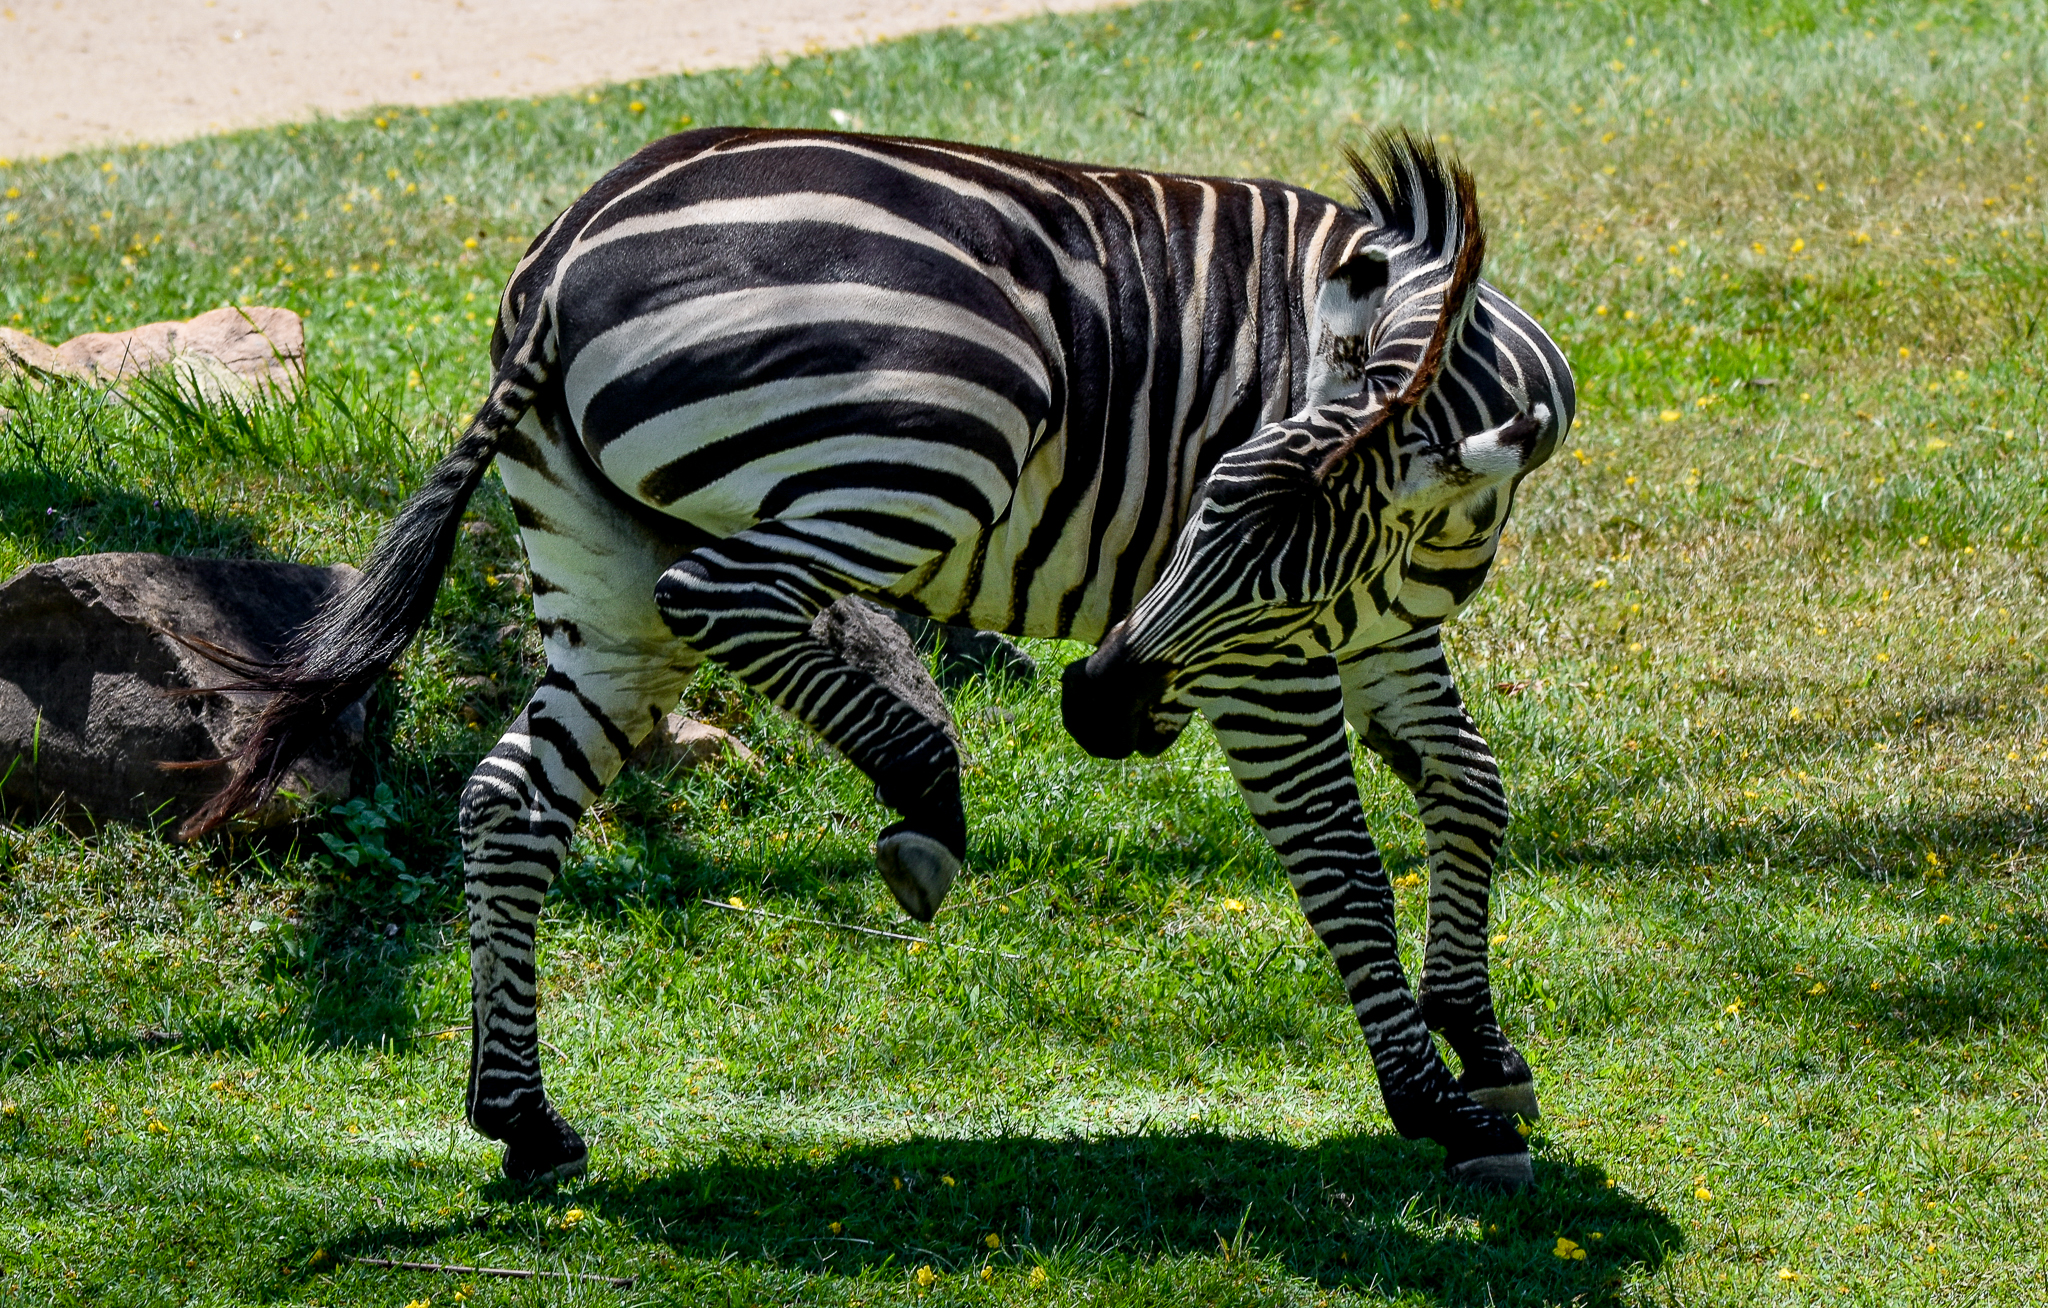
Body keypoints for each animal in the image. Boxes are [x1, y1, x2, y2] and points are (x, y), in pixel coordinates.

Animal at [184, 127, 1573, 1192]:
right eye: (1198, 509)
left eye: (1298, 576)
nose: (1092, 701)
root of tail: (569, 243)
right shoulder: (1265, 670)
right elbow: (1341, 865)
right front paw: (1435, 1104)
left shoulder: (1383, 634)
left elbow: (1469, 789)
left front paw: (1476, 1033)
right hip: (926, 440)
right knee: (724, 595)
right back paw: (920, 790)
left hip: (600, 563)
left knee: (509, 799)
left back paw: (523, 1118)